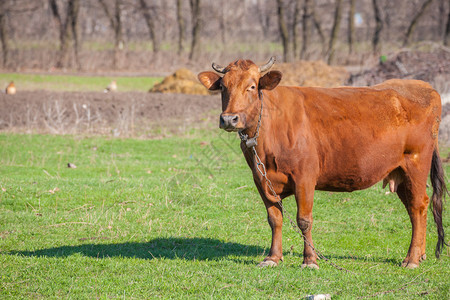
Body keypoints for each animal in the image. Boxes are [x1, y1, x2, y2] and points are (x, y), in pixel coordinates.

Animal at [200, 56, 446, 270]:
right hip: (400, 172)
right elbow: (274, 219)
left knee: (418, 205)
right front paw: (272, 258)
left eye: (251, 86)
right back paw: (420, 254)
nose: (229, 119)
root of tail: (424, 86)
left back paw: (412, 259)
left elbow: (304, 220)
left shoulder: (305, 177)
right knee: (416, 208)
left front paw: (310, 260)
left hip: (416, 164)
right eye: (223, 87)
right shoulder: (261, 179)